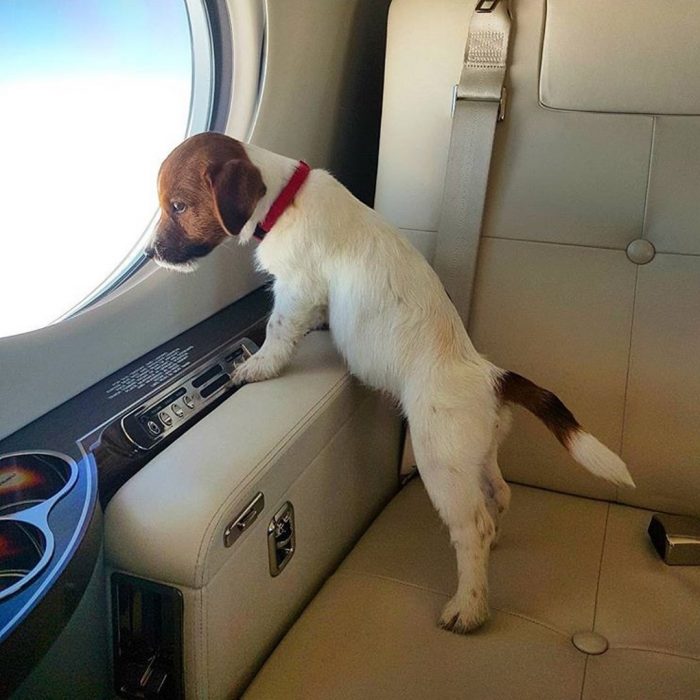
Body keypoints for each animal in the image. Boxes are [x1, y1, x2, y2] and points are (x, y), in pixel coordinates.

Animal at [146, 131, 636, 636]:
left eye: (178, 205)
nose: (149, 254)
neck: (284, 198)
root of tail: (491, 377)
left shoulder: (296, 287)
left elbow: (278, 330)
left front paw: (259, 365)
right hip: (474, 456)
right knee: (498, 493)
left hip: (440, 461)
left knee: (473, 528)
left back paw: (469, 605)